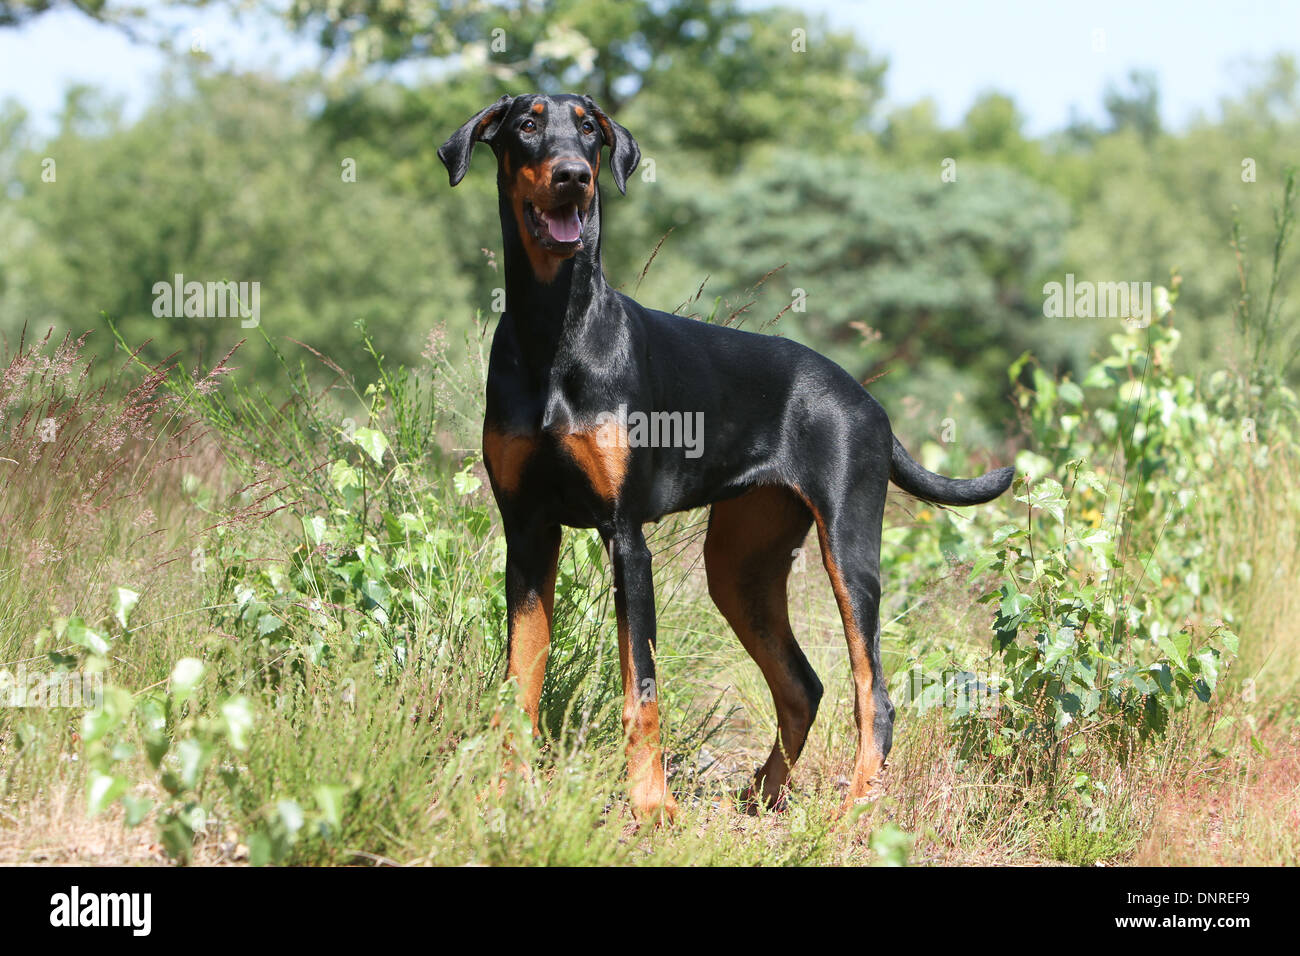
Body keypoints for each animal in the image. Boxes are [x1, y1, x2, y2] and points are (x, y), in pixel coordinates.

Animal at [439, 93, 1013, 822]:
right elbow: (521, 679)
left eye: (590, 129)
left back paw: (855, 812)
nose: (574, 175)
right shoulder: (528, 532)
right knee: (802, 685)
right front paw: (501, 796)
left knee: (873, 693)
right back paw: (764, 795)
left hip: (849, 550)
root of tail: (869, 401)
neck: (554, 329)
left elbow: (642, 691)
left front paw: (652, 807)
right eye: (528, 124)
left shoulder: (625, 537)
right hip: (740, 566)